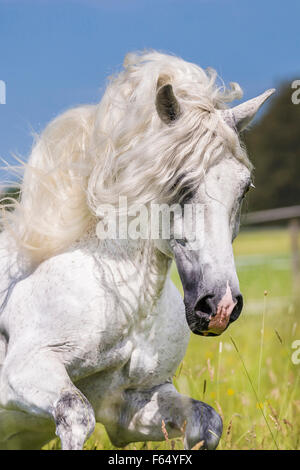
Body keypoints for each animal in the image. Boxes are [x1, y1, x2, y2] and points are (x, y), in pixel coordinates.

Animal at [0, 52, 274, 452]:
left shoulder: (131, 405)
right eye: (180, 183)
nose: (220, 306)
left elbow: (208, 422)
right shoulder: (25, 372)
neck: (122, 298)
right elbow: (76, 414)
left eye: (245, 187)